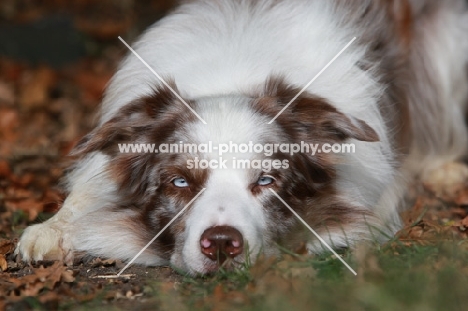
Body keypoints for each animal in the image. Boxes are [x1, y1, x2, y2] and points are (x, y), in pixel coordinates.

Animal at [16, 0, 466, 274]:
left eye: (266, 181)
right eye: (180, 182)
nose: (221, 244)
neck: (231, 79)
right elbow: (87, 190)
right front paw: (51, 229)